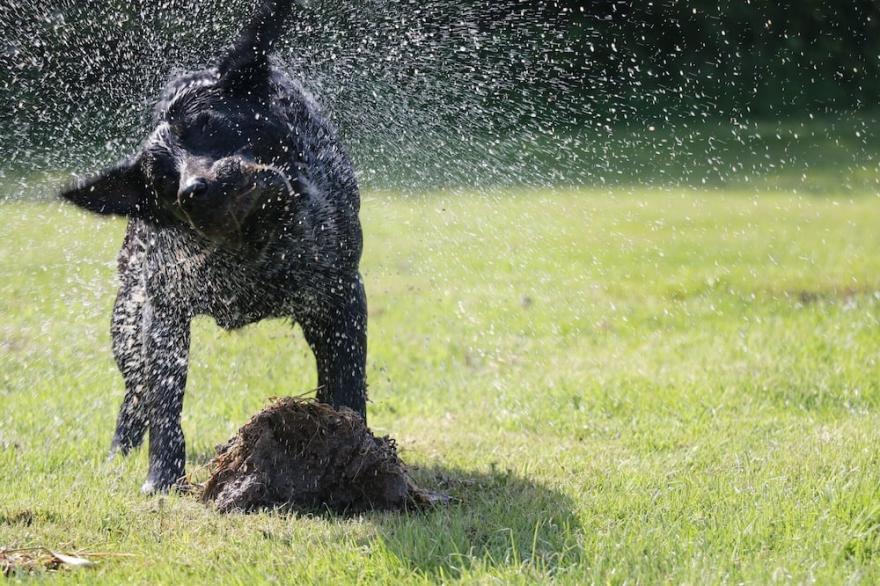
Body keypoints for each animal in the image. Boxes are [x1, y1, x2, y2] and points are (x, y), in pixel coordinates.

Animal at [59, 0, 368, 490]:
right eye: (162, 179)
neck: (258, 247)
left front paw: (359, 446)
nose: (193, 190)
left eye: (208, 124)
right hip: (127, 321)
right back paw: (119, 455)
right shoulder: (164, 310)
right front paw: (162, 479)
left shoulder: (340, 293)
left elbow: (344, 381)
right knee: (136, 395)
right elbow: (164, 406)